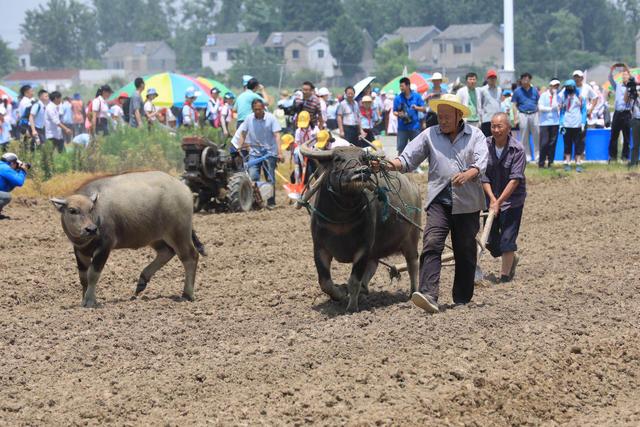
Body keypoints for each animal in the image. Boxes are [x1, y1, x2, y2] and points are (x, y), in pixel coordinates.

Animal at [53, 172, 208, 310]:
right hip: (155, 236)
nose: (91, 229)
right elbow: (83, 277)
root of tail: (183, 188)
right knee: (167, 252)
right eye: (72, 210)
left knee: (190, 256)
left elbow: (93, 274)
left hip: (179, 233)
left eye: (91, 209)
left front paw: (90, 301)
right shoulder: (79, 250)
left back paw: (187, 294)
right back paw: (142, 281)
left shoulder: (104, 246)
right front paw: (83, 299)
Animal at [302, 144, 422, 310]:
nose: (362, 171)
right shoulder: (320, 247)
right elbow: (325, 282)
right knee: (373, 264)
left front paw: (352, 307)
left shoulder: (363, 248)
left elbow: (353, 281)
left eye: (363, 158)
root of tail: (414, 187)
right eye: (338, 159)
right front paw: (340, 293)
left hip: (411, 237)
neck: (341, 219)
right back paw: (364, 291)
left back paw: (413, 293)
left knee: (413, 264)